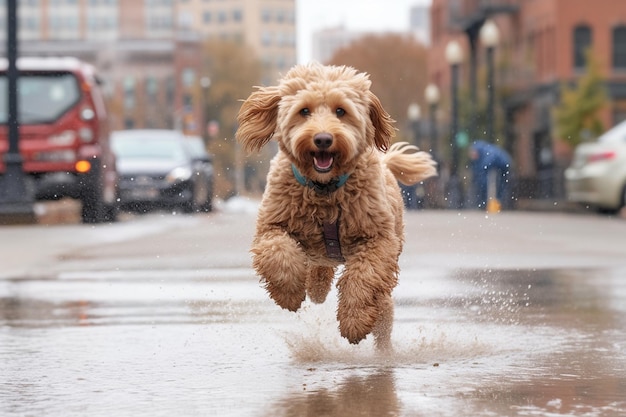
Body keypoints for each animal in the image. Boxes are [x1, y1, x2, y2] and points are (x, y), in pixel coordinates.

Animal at [234, 61, 434, 350]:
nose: (323, 139)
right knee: (318, 268)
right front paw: (288, 295)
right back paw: (315, 289)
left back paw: (383, 348)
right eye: (304, 110)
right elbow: (278, 254)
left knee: (382, 308)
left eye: (341, 111)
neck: (324, 191)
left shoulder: (379, 240)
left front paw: (354, 322)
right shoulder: (271, 225)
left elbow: (362, 277)